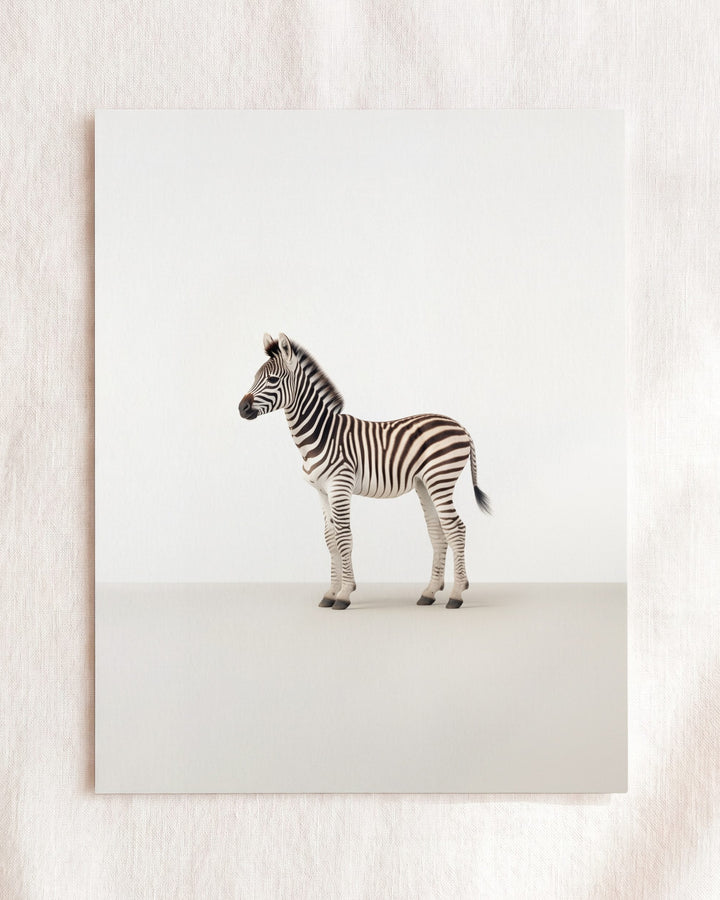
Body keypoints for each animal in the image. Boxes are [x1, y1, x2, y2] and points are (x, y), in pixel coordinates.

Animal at [238, 333, 490, 610]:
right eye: (254, 377)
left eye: (272, 379)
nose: (241, 408)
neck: (320, 434)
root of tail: (461, 426)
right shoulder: (321, 491)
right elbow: (330, 538)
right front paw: (330, 593)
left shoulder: (339, 485)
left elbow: (344, 537)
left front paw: (345, 594)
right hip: (425, 483)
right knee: (437, 531)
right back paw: (429, 592)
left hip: (440, 478)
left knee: (456, 529)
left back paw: (456, 594)